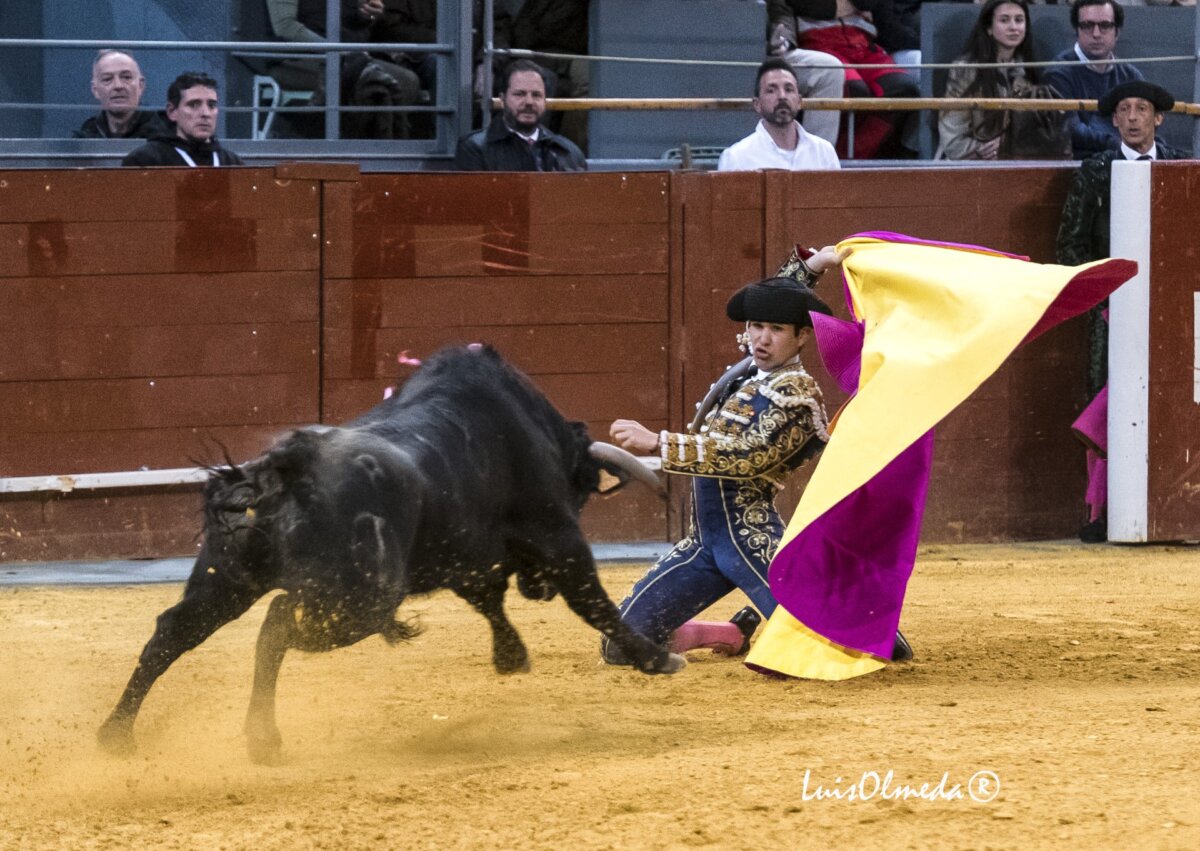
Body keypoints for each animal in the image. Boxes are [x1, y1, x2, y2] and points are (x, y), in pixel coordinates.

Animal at [98, 345, 685, 764]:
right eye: (581, 492)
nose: (535, 588)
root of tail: (289, 467)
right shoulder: (558, 537)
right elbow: (592, 601)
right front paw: (656, 658)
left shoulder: (467, 556)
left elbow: (488, 600)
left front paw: (510, 654)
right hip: (357, 603)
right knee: (279, 623)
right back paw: (259, 738)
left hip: (226, 578)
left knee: (174, 632)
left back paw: (122, 735)